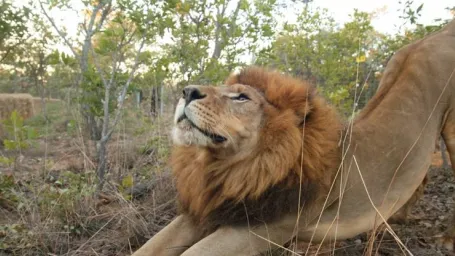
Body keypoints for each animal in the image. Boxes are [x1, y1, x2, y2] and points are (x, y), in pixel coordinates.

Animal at [132, 20, 455, 256]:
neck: (229, 168)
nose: (187, 91)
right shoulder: (205, 212)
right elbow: (147, 248)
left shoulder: (259, 228)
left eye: (241, 97)